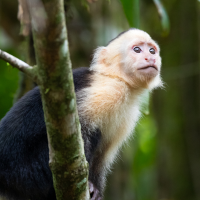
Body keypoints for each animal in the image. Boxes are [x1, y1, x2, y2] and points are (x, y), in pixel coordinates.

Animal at [0, 28, 162, 200]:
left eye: (152, 51)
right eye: (137, 49)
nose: (150, 57)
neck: (119, 80)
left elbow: (102, 155)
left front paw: (96, 188)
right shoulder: (105, 91)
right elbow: (80, 131)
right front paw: (87, 182)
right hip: (25, 174)